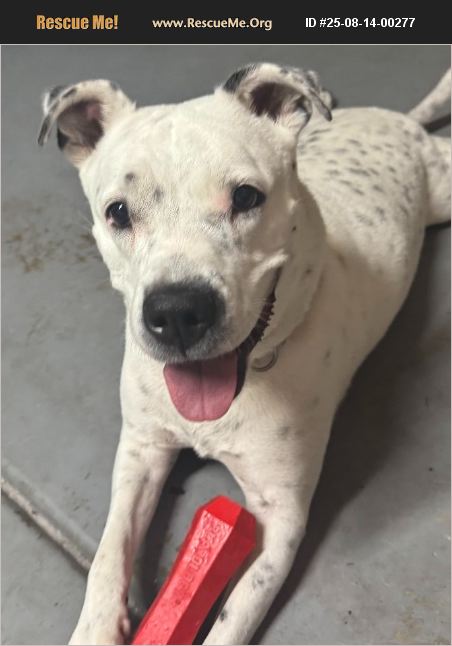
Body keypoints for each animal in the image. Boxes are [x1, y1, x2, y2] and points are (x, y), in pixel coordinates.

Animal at [38, 64, 450, 645]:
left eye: (247, 197)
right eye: (117, 211)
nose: (177, 312)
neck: (252, 376)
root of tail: (400, 122)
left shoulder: (281, 521)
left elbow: (233, 621)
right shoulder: (142, 449)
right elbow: (109, 552)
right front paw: (95, 628)